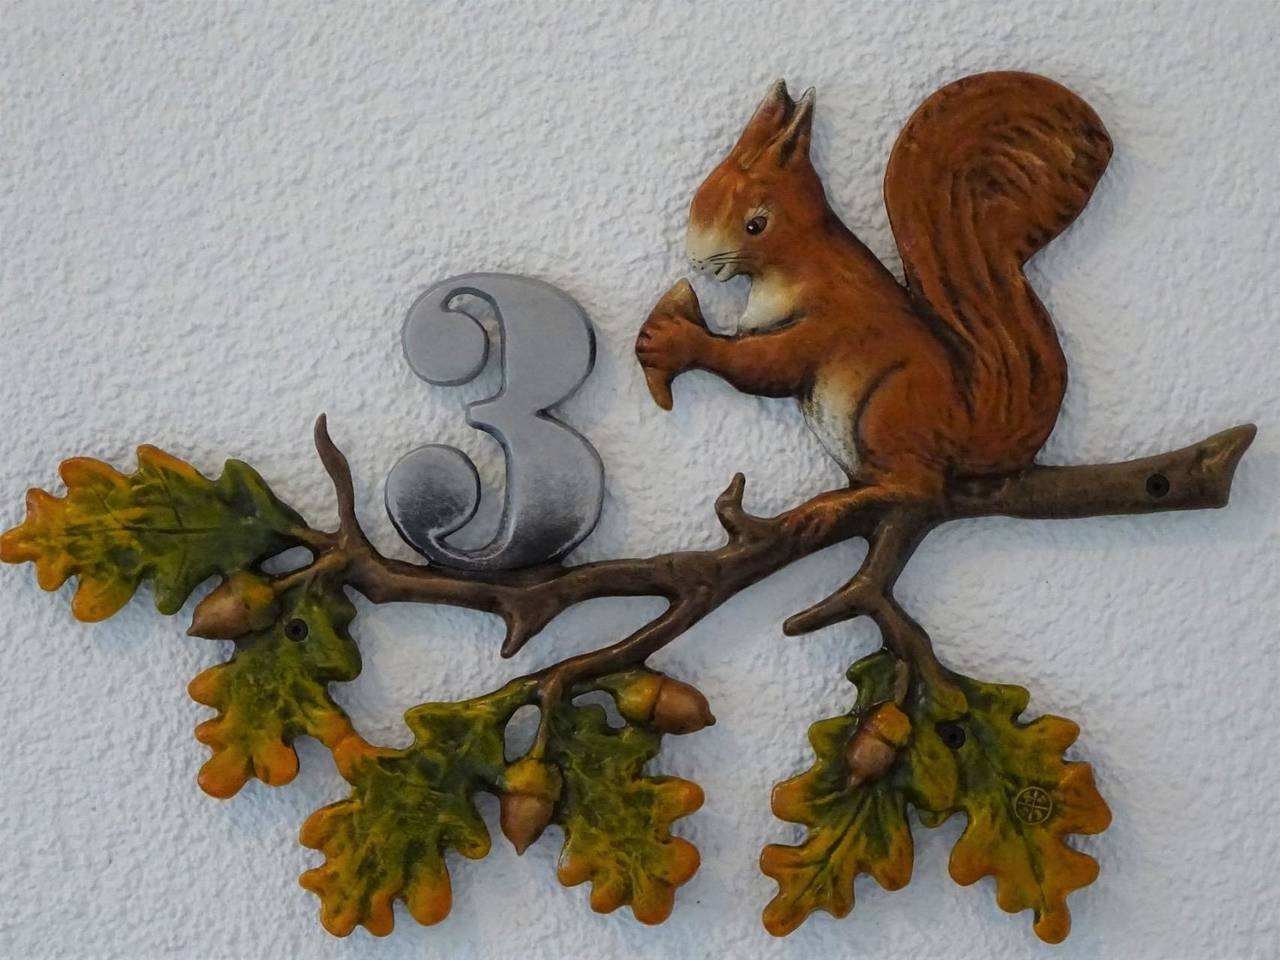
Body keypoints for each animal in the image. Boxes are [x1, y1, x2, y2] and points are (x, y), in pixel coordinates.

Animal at [636, 72, 1112, 502]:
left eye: (756, 225)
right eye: (702, 192)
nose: (695, 261)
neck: (797, 260)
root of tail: (965, 434)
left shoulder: (830, 318)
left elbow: (768, 365)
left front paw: (676, 341)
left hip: (885, 409)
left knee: (917, 486)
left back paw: (845, 500)